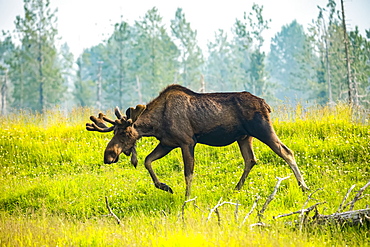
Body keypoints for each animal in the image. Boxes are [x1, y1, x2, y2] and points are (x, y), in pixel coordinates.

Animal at [85, 85, 308, 199]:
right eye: (114, 131)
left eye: (124, 133)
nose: (108, 155)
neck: (156, 124)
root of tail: (266, 104)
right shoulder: (167, 143)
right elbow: (148, 161)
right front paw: (165, 186)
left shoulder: (186, 142)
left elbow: (188, 173)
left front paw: (187, 198)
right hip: (244, 137)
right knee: (251, 160)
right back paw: (237, 188)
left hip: (262, 129)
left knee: (286, 152)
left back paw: (304, 186)